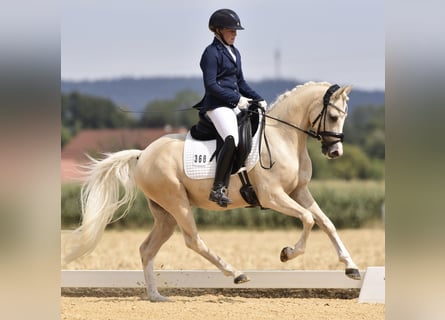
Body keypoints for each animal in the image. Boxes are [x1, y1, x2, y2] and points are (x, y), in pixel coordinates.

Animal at [62, 81, 360, 302]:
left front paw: (351, 267)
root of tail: (142, 153)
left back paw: (156, 296)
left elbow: (326, 223)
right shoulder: (273, 196)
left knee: (147, 249)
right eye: (333, 116)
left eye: (345, 117)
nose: (335, 152)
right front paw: (287, 253)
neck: (283, 138)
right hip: (177, 203)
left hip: (165, 214)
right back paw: (236, 273)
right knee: (193, 240)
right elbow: (309, 220)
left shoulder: (299, 192)